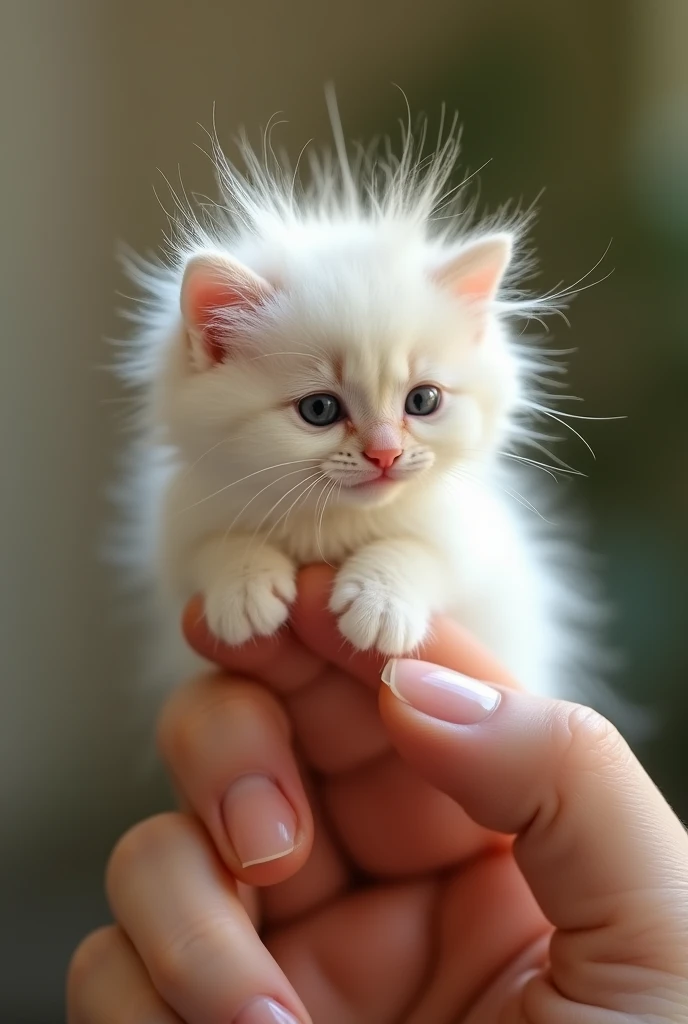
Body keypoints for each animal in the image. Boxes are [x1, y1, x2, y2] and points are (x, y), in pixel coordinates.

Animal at [116, 114, 602, 704]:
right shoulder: (174, 525)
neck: (331, 523)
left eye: (423, 401)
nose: (385, 454)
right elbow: (206, 546)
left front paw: (382, 598)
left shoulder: (481, 542)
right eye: (320, 409)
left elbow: (428, 549)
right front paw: (243, 584)